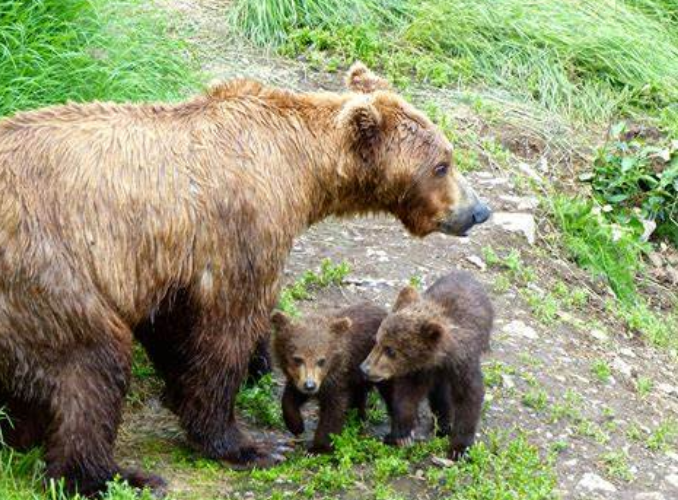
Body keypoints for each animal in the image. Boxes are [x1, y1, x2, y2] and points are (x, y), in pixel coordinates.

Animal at [270, 300, 388, 454]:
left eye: (321, 360)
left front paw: (318, 448)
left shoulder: (337, 380)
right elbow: (290, 397)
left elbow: (333, 412)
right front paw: (296, 425)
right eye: (297, 359)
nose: (310, 385)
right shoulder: (300, 379)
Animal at [362, 272, 494, 458]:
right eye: (377, 341)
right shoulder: (420, 370)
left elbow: (469, 398)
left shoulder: (463, 365)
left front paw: (460, 448)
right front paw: (402, 433)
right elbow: (407, 395)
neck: (439, 358)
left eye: (391, 350)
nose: (364, 368)